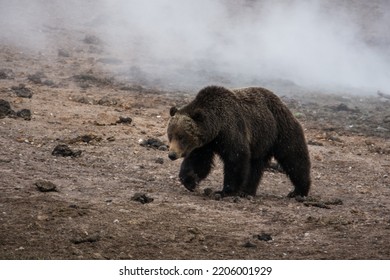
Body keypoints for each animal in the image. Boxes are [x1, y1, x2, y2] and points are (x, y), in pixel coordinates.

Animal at [167, 85, 310, 197]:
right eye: (170, 135)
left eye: (181, 136)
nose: (172, 155)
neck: (217, 128)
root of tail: (282, 103)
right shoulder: (206, 143)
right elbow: (199, 161)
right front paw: (190, 181)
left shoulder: (231, 130)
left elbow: (236, 157)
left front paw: (225, 191)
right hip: (261, 141)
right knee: (256, 165)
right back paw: (247, 191)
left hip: (280, 129)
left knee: (293, 157)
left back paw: (299, 191)